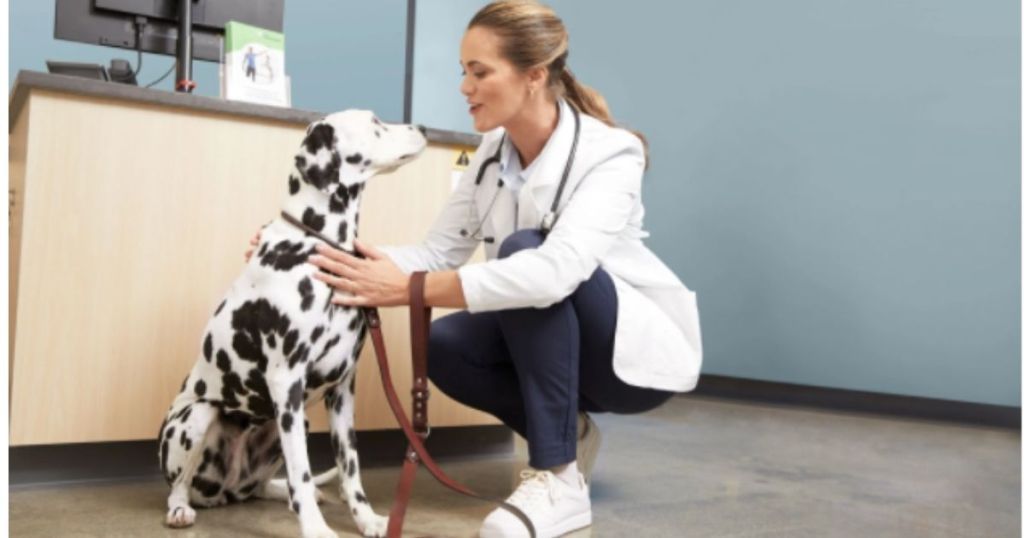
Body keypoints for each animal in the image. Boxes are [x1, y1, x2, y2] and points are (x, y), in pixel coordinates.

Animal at [158, 110, 428, 536]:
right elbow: (301, 470)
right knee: (179, 486)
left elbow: (351, 467)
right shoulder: (287, 381)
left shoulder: (342, 388)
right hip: (201, 417)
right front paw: (316, 529)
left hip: (296, 421)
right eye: (374, 123)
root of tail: (224, 492)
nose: (424, 128)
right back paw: (181, 508)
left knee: (266, 486)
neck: (315, 246)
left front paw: (368, 520)